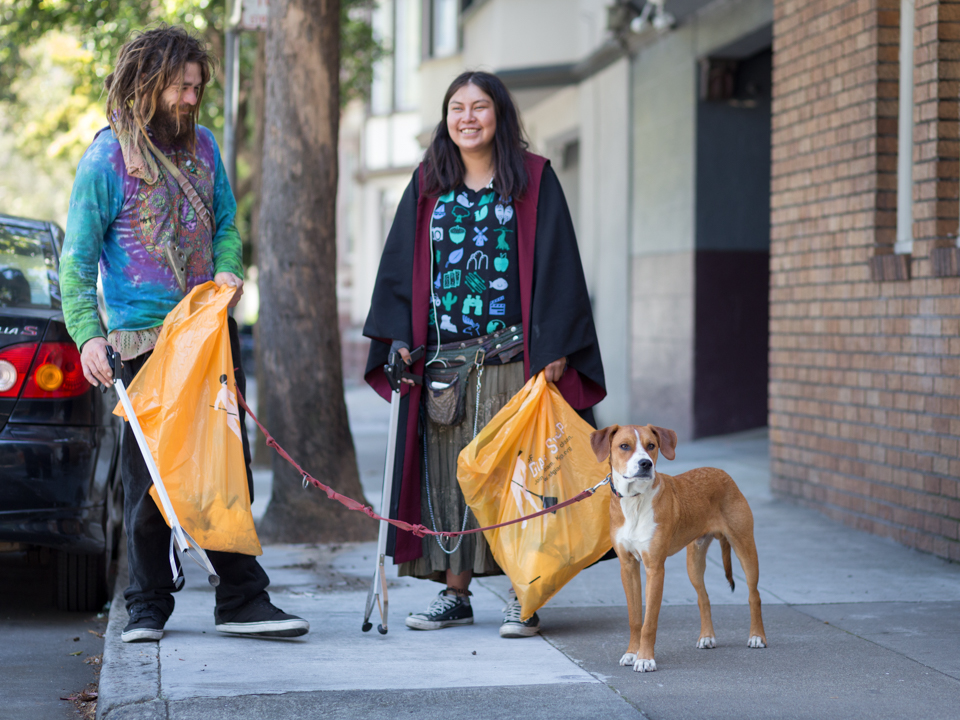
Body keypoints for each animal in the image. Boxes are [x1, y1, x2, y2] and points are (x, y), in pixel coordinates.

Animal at [588, 424, 768, 672]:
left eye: (651, 445)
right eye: (624, 446)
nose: (646, 464)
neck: (635, 501)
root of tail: (722, 473)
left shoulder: (655, 568)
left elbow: (649, 621)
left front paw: (645, 659)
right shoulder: (628, 566)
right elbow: (635, 618)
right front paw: (632, 653)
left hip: (745, 548)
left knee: (754, 594)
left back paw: (757, 636)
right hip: (694, 562)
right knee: (703, 597)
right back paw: (707, 637)